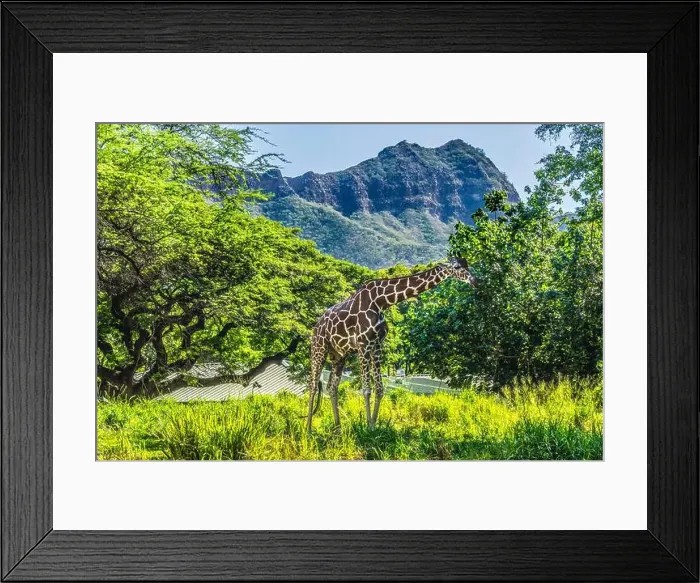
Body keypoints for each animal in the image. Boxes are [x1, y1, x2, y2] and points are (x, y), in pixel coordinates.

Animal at [306, 257, 477, 431]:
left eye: (467, 264)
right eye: (457, 267)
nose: (475, 281)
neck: (381, 301)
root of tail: (316, 325)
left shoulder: (377, 346)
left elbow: (380, 389)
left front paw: (373, 426)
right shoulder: (363, 345)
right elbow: (366, 389)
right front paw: (367, 427)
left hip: (339, 355)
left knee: (332, 387)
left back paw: (338, 429)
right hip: (319, 348)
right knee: (312, 385)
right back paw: (309, 429)